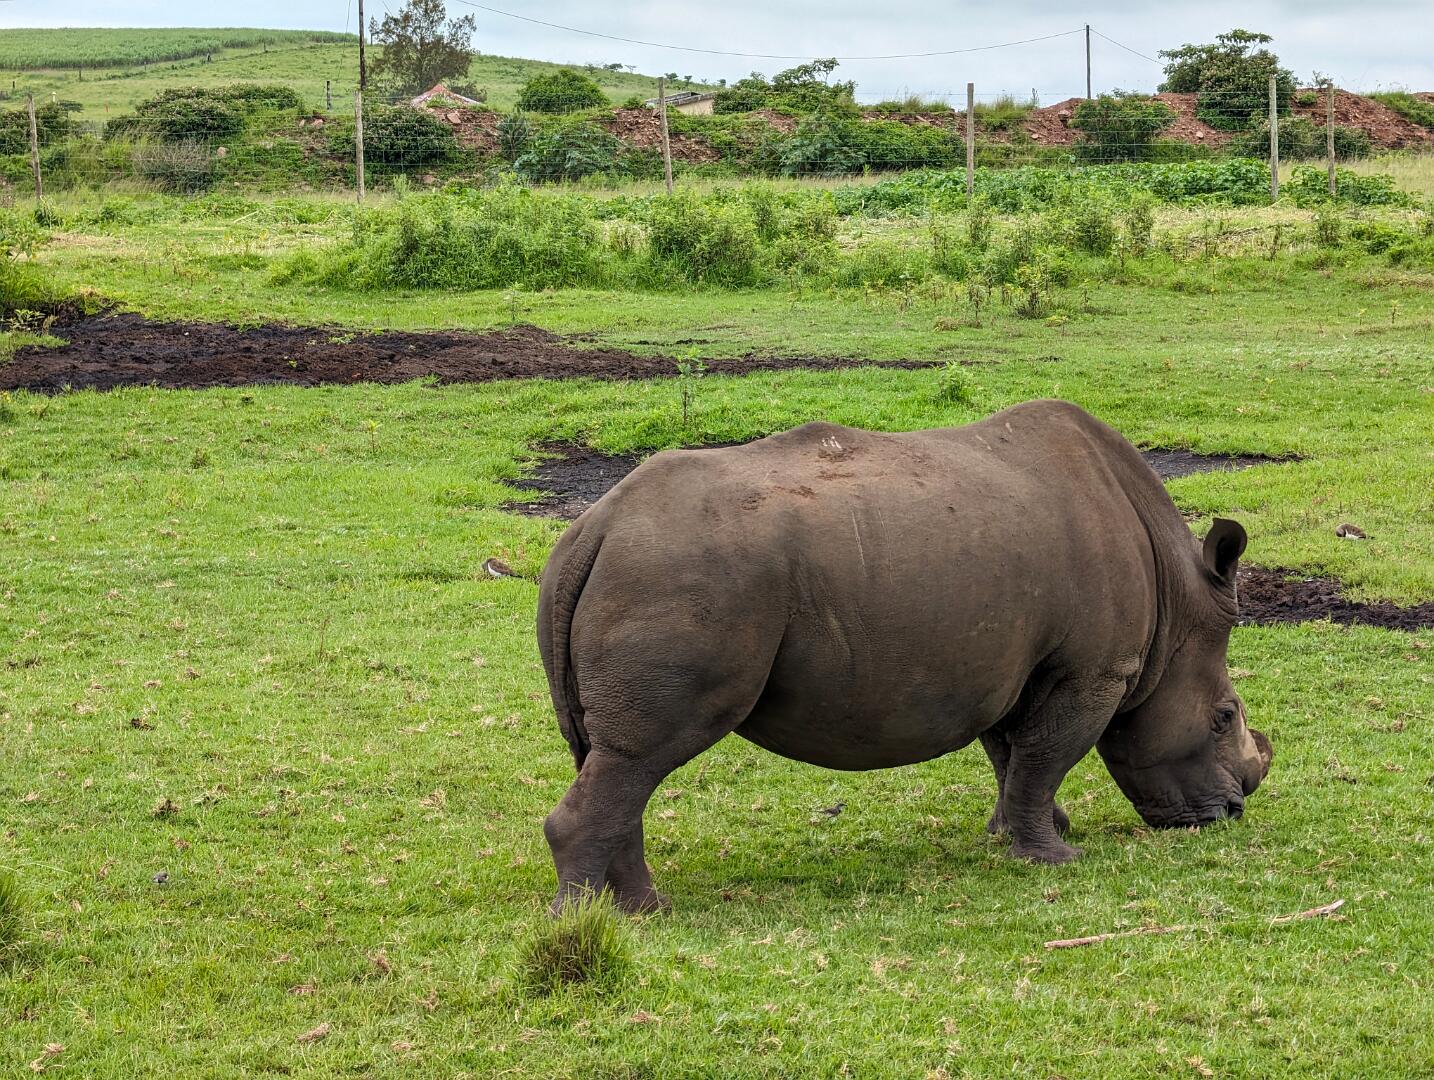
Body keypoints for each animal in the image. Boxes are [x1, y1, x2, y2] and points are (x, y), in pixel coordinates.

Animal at [536, 400, 1272, 913]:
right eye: (1223, 717)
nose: (1232, 813)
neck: (1177, 603)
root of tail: (594, 528)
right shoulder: (1093, 670)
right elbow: (1046, 756)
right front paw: (1057, 857)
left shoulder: (1014, 664)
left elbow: (1014, 756)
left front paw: (1012, 837)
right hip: (680, 575)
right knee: (643, 753)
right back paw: (591, 921)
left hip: (645, 570)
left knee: (615, 759)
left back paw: (641, 910)